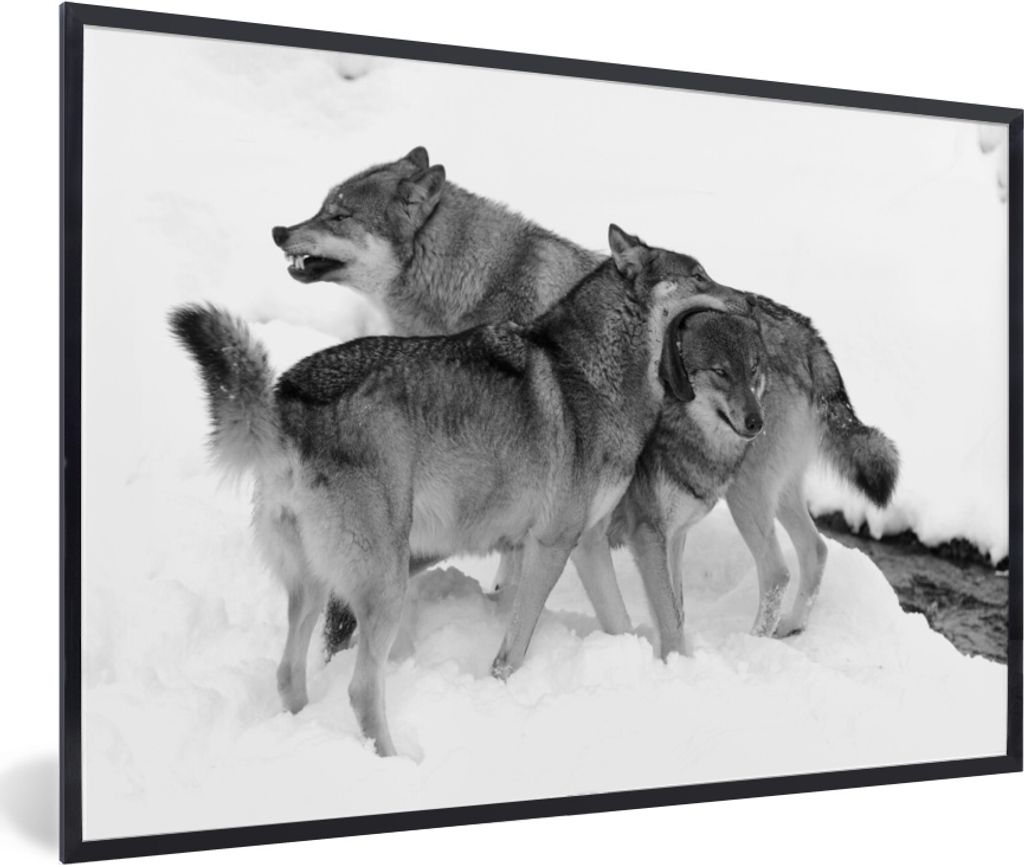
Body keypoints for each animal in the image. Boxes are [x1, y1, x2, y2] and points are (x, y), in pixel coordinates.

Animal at [171, 229, 732, 755]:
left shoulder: (586, 543)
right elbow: (514, 650)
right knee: (360, 689)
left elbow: (618, 622)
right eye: (700, 276)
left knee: (289, 674)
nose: (743, 298)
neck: (594, 371)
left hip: (318, 584)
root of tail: (284, 403)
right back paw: (393, 762)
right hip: (386, 584)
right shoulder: (551, 545)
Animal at [273, 147, 899, 647]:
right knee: (816, 552)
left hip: (747, 492)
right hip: (775, 492)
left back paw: (757, 643)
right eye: (325, 207)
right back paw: (791, 631)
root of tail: (807, 333)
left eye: (339, 215)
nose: (279, 231)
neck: (471, 281)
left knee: (778, 569)